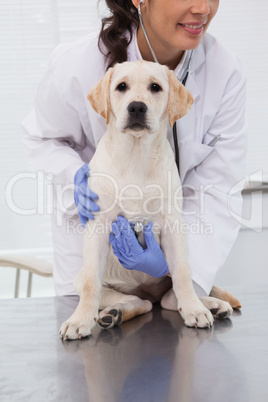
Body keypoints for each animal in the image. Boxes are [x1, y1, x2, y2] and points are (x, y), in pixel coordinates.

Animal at [59, 61, 240, 340]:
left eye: (155, 87)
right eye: (121, 86)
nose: (136, 107)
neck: (136, 155)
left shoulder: (173, 226)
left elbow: (183, 274)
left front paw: (193, 309)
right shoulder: (98, 228)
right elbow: (91, 283)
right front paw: (79, 320)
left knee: (169, 297)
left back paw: (209, 305)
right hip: (95, 283)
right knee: (138, 302)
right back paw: (114, 313)